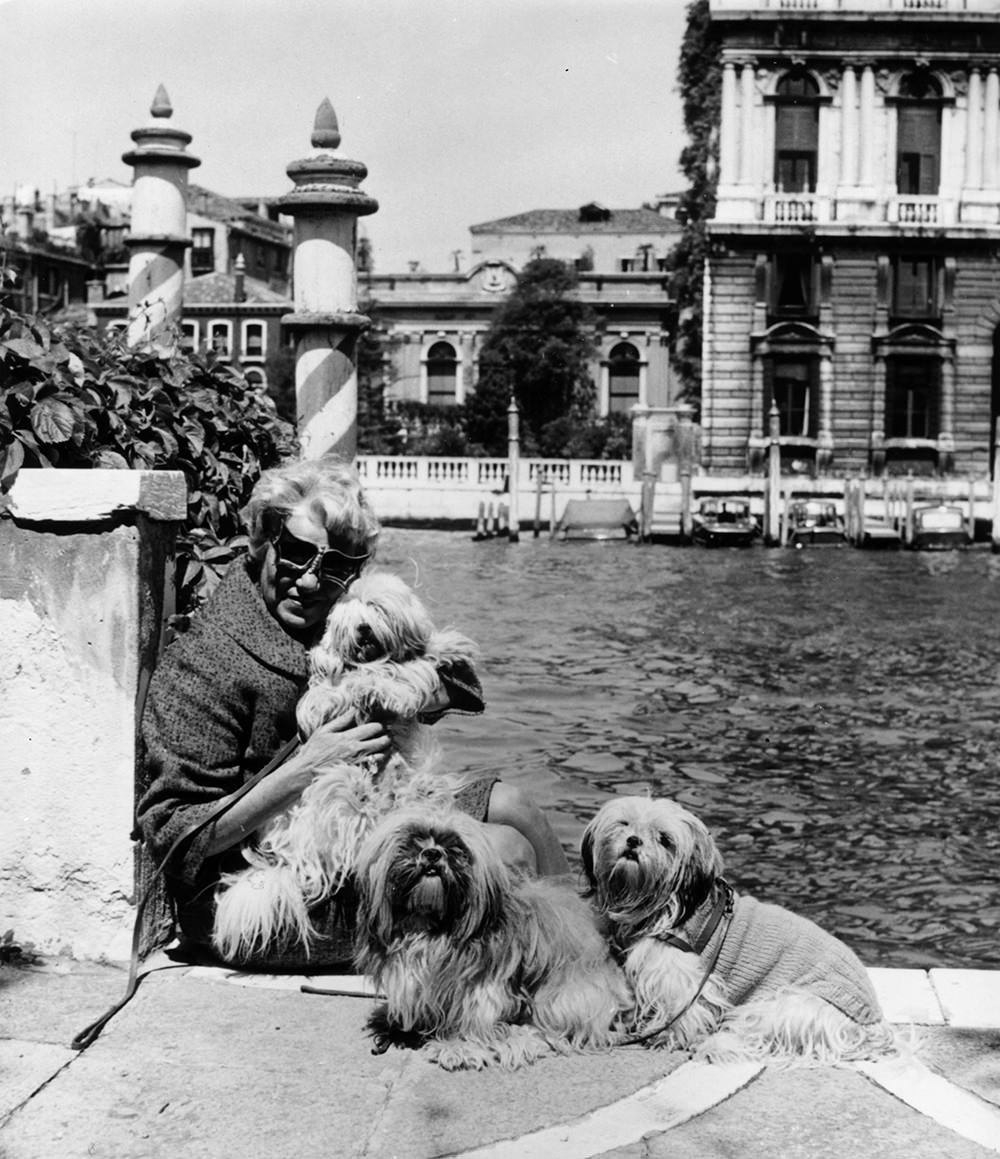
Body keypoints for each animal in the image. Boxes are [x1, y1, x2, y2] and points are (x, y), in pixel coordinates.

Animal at [212, 567, 477, 959]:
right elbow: (352, 685)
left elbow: (414, 665)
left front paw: (446, 649)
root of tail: (291, 864)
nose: (363, 630)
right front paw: (372, 685)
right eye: (350, 619)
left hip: (414, 787)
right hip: (338, 788)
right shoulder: (326, 698)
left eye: (376, 609)